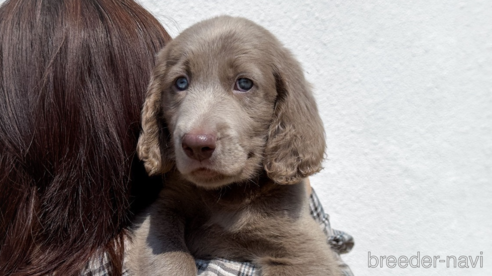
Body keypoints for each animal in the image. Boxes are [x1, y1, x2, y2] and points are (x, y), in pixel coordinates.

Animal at [129, 16, 340, 276]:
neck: (226, 196)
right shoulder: (162, 208)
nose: (196, 145)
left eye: (244, 83)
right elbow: (170, 257)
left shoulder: (303, 248)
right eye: (181, 82)